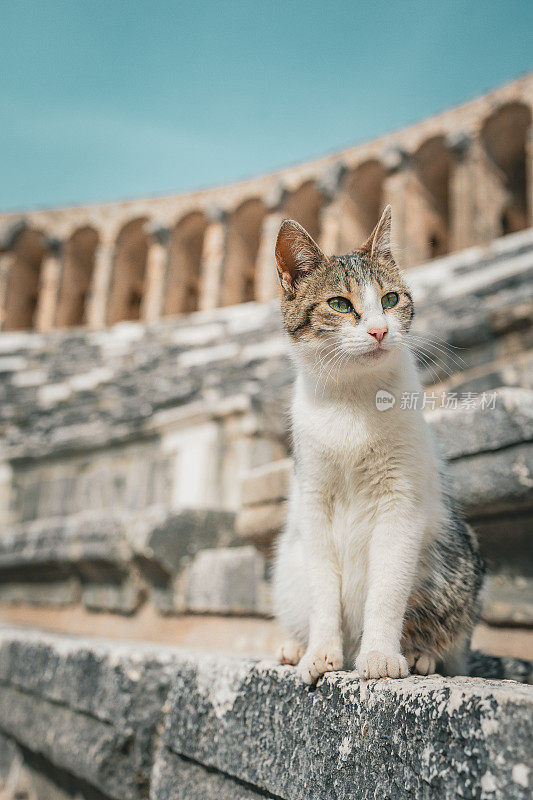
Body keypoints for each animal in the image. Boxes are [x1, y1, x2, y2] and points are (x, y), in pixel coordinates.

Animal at [270, 205, 486, 680]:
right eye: (339, 304)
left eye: (390, 300)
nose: (379, 331)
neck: (353, 400)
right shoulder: (313, 499)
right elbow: (323, 590)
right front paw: (320, 652)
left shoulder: (400, 500)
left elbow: (387, 589)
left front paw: (382, 656)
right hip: (289, 564)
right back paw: (295, 645)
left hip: (457, 567)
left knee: (449, 636)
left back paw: (422, 655)